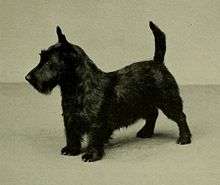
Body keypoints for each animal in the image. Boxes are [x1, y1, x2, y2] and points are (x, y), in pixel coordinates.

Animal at [25, 21, 191, 162]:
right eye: (41, 57)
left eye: (48, 62)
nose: (27, 77)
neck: (76, 89)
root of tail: (157, 62)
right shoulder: (70, 118)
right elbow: (72, 135)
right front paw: (71, 150)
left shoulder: (95, 123)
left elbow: (93, 138)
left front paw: (91, 154)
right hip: (144, 105)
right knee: (152, 114)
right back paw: (146, 133)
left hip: (168, 102)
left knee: (180, 117)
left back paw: (184, 138)